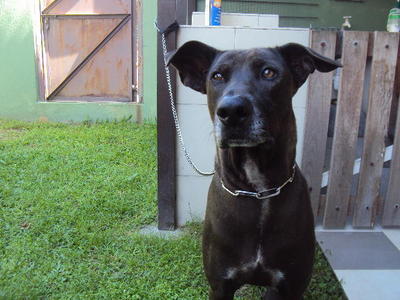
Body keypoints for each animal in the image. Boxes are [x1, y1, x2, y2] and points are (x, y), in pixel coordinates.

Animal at [167, 40, 340, 300]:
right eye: (217, 76)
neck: (258, 190)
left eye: (268, 72)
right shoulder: (220, 286)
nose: (231, 111)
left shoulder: (291, 287)